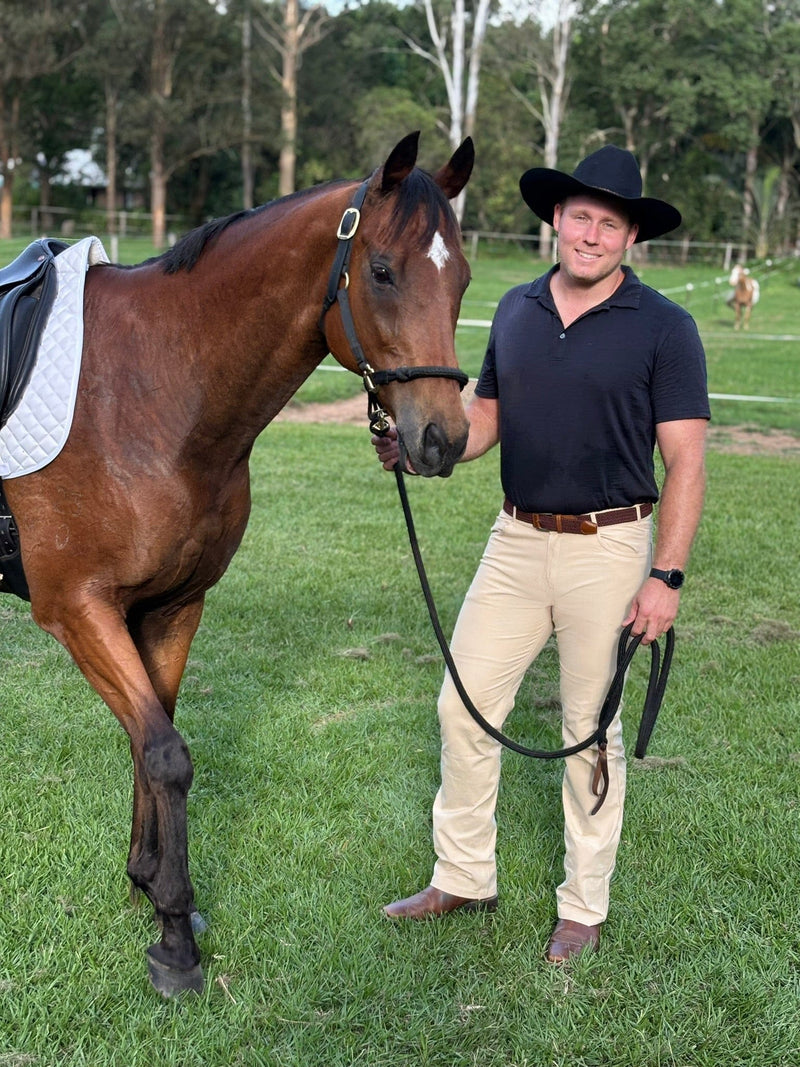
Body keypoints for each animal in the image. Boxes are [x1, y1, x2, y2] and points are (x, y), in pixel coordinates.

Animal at [0, 132, 473, 996]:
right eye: (382, 271)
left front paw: (153, 891)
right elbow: (164, 752)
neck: (152, 389)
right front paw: (174, 941)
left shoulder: (172, 605)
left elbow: (153, 738)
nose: (443, 437)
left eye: (459, 276)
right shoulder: (77, 608)